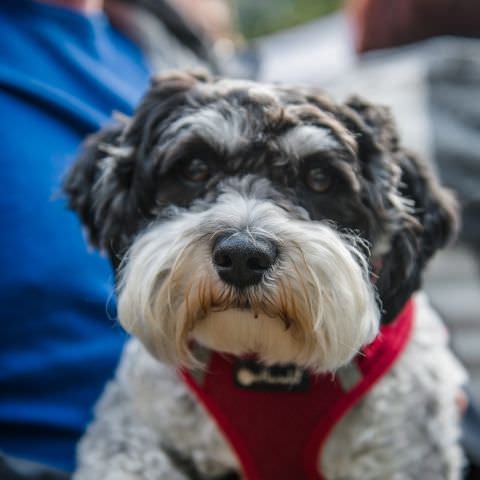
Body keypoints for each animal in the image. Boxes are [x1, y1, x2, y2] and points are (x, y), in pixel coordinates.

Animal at [63, 71, 464, 480]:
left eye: (320, 178)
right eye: (195, 168)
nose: (242, 256)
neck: (263, 367)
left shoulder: (406, 450)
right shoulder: (132, 423)